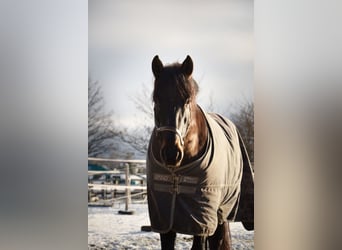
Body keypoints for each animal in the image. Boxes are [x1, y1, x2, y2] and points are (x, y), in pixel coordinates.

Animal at [146, 55, 252, 249]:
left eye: (187, 100)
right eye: (156, 100)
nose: (171, 153)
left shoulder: (200, 220)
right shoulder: (164, 221)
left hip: (221, 211)